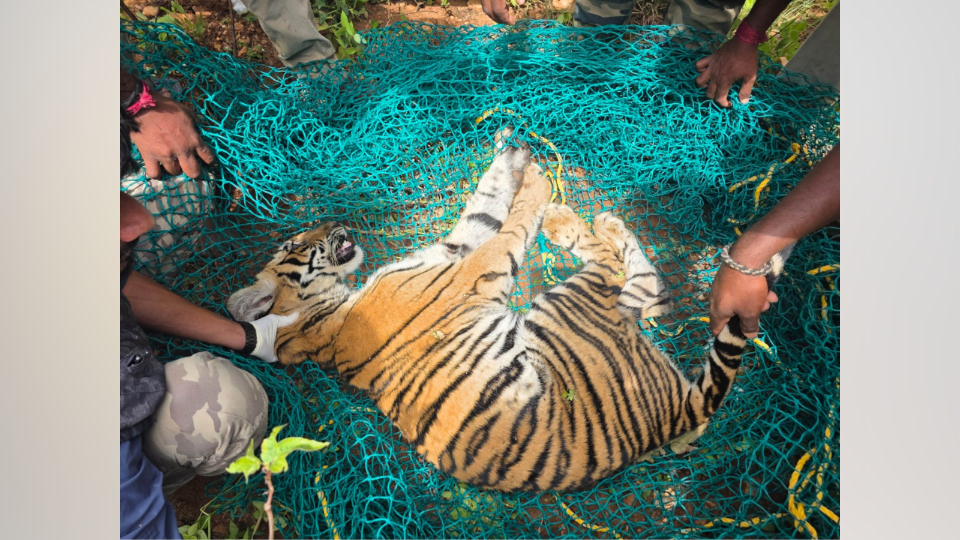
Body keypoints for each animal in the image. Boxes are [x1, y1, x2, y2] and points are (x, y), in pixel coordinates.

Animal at [226, 131, 790, 492]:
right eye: (296, 243)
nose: (336, 225)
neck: (329, 311)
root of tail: (677, 415)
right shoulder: (470, 271)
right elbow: (510, 225)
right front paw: (538, 183)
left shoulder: (454, 251)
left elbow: (485, 205)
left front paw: (514, 156)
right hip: (565, 309)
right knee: (624, 273)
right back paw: (573, 220)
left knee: (650, 287)